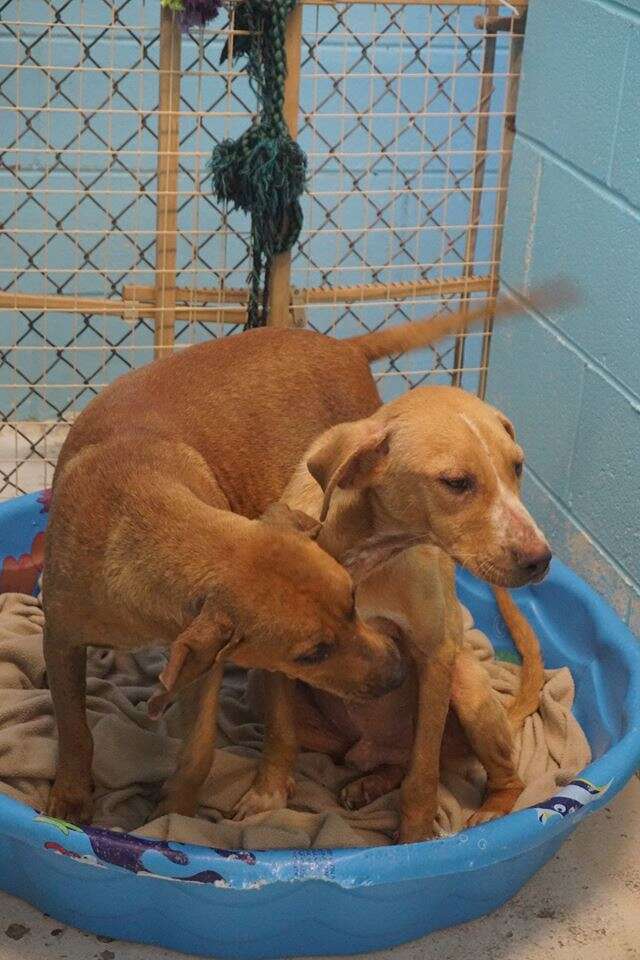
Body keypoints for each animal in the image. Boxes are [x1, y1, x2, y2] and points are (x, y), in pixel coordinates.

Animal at [45, 296, 532, 820]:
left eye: (352, 604)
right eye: (311, 653)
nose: (400, 673)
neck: (139, 511)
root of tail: (343, 345)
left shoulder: (205, 666)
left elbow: (198, 751)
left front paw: (174, 813)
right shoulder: (62, 639)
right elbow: (74, 729)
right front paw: (70, 798)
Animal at [238, 386, 548, 844]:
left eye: (517, 466)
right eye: (456, 483)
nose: (542, 560)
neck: (366, 547)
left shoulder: (435, 655)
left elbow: (423, 774)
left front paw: (415, 838)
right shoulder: (277, 657)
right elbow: (279, 735)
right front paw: (267, 795)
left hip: (466, 686)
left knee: (496, 775)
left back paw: (491, 812)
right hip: (266, 691)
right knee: (390, 763)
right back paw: (370, 782)